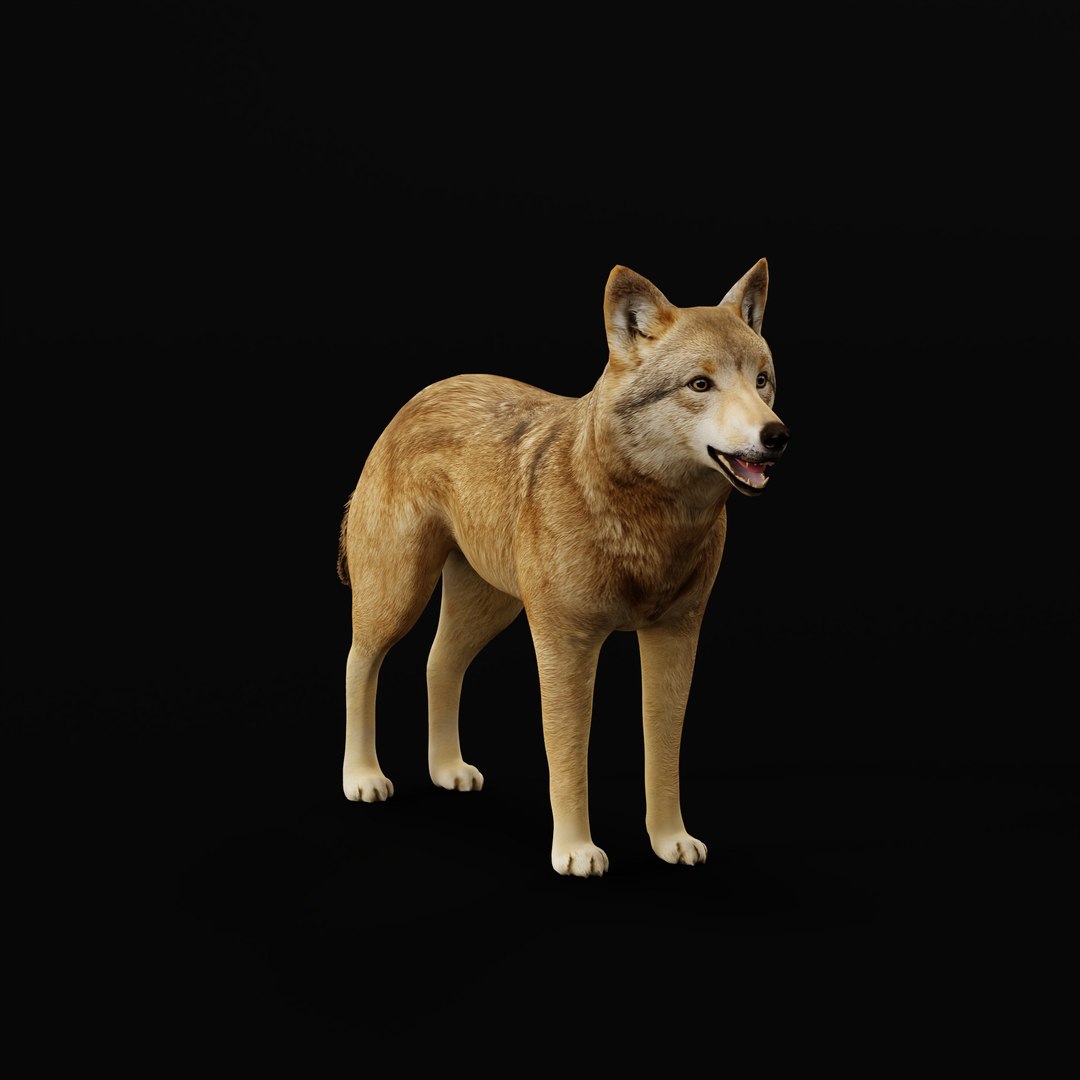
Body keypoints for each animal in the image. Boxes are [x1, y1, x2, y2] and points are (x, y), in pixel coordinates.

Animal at [336, 259, 789, 876]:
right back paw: (362, 777)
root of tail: (423, 394)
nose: (777, 435)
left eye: (762, 380)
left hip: (489, 608)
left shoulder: (676, 638)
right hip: (399, 595)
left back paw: (447, 769)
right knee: (360, 662)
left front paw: (670, 840)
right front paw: (575, 851)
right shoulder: (565, 644)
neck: (650, 521)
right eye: (701, 385)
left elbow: (663, 752)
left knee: (438, 663)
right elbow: (569, 758)